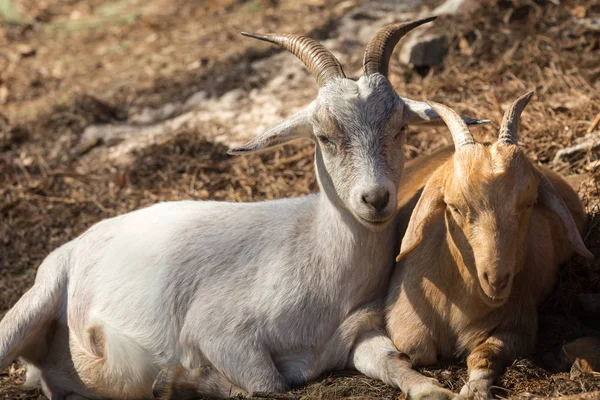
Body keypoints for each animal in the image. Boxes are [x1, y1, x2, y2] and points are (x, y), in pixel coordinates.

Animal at [0, 19, 486, 400]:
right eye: (323, 136)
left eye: (400, 127)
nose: (376, 198)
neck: (315, 253)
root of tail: (79, 240)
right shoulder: (218, 332)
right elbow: (266, 384)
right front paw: (174, 382)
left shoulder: (358, 331)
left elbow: (391, 359)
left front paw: (434, 389)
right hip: (37, 300)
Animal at [386, 92, 592, 398]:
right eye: (454, 207)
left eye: (528, 203)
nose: (496, 280)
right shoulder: (403, 322)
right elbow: (415, 350)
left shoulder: (518, 325)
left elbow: (485, 354)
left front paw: (475, 389)